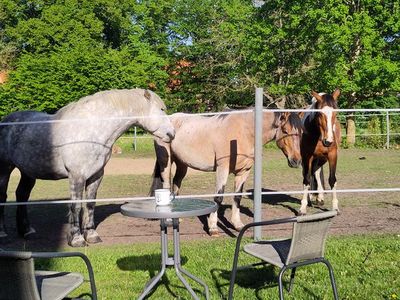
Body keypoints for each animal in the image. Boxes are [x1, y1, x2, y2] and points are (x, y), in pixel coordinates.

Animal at [0, 88, 175, 246]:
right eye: (161, 109)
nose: (171, 134)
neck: (90, 130)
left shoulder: (96, 175)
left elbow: (90, 204)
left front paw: (92, 236)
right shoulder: (76, 176)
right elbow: (76, 206)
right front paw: (76, 239)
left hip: (27, 172)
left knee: (22, 195)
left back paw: (27, 231)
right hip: (5, 170)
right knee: (4, 197)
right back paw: (3, 234)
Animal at [152, 109, 302, 236]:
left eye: (301, 132)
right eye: (285, 130)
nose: (296, 161)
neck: (244, 132)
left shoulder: (243, 172)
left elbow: (237, 197)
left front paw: (238, 224)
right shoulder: (222, 168)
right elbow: (218, 197)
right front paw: (213, 227)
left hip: (182, 164)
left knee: (176, 184)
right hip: (166, 162)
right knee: (167, 185)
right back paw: (169, 220)